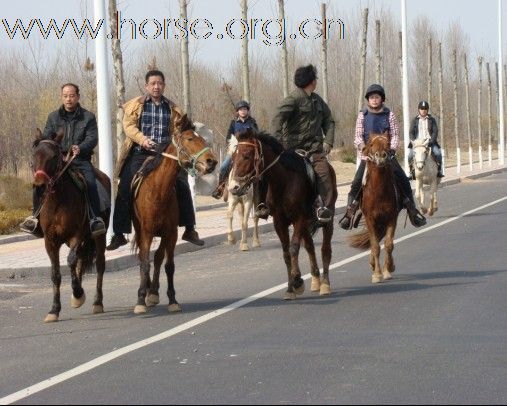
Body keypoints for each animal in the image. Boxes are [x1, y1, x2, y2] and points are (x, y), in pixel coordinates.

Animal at [31, 129, 111, 320]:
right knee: (81, 260)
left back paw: (97, 302)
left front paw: (77, 292)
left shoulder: (77, 235)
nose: (39, 184)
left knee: (99, 265)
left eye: (54, 156)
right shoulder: (50, 241)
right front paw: (54, 309)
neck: (57, 201)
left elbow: (70, 261)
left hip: (99, 237)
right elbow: (56, 273)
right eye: (35, 154)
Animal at [132, 112, 217, 316]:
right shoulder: (146, 232)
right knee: (145, 259)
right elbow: (144, 263)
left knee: (158, 258)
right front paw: (140, 300)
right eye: (189, 139)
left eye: (203, 139)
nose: (211, 162)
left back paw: (153, 293)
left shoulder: (171, 233)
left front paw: (172, 300)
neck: (158, 192)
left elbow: (168, 265)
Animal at [230, 130, 338, 298]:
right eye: (233, 158)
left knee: (325, 249)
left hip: (326, 219)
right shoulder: (279, 222)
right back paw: (315, 280)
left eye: (247, 156)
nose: (234, 187)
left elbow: (293, 248)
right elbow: (286, 253)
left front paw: (297, 280)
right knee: (310, 246)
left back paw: (325, 285)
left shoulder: (299, 218)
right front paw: (290, 288)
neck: (283, 183)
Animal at [350, 132, 400, 282]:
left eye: (388, 143)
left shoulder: (391, 218)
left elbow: (389, 244)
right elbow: (376, 246)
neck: (379, 192)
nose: (381, 157)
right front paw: (377, 274)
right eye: (371, 144)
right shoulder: (370, 219)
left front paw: (387, 269)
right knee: (375, 241)